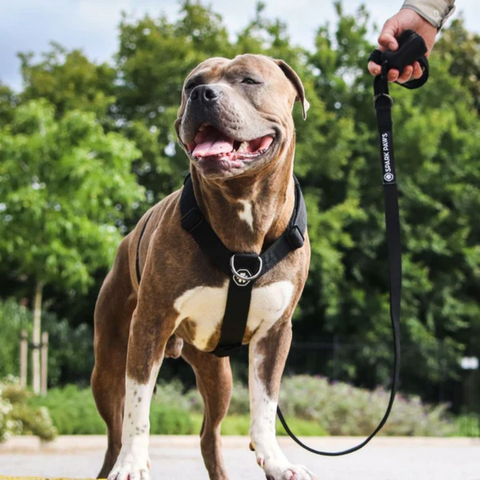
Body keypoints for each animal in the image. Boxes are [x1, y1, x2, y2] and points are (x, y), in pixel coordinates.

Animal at [92, 53, 316, 480]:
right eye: (191, 84)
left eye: (249, 80)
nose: (202, 94)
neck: (243, 209)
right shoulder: (148, 325)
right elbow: (138, 408)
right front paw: (133, 462)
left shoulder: (276, 332)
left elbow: (265, 405)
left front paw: (276, 461)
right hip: (108, 364)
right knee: (113, 434)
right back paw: (120, 461)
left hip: (218, 376)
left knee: (209, 435)